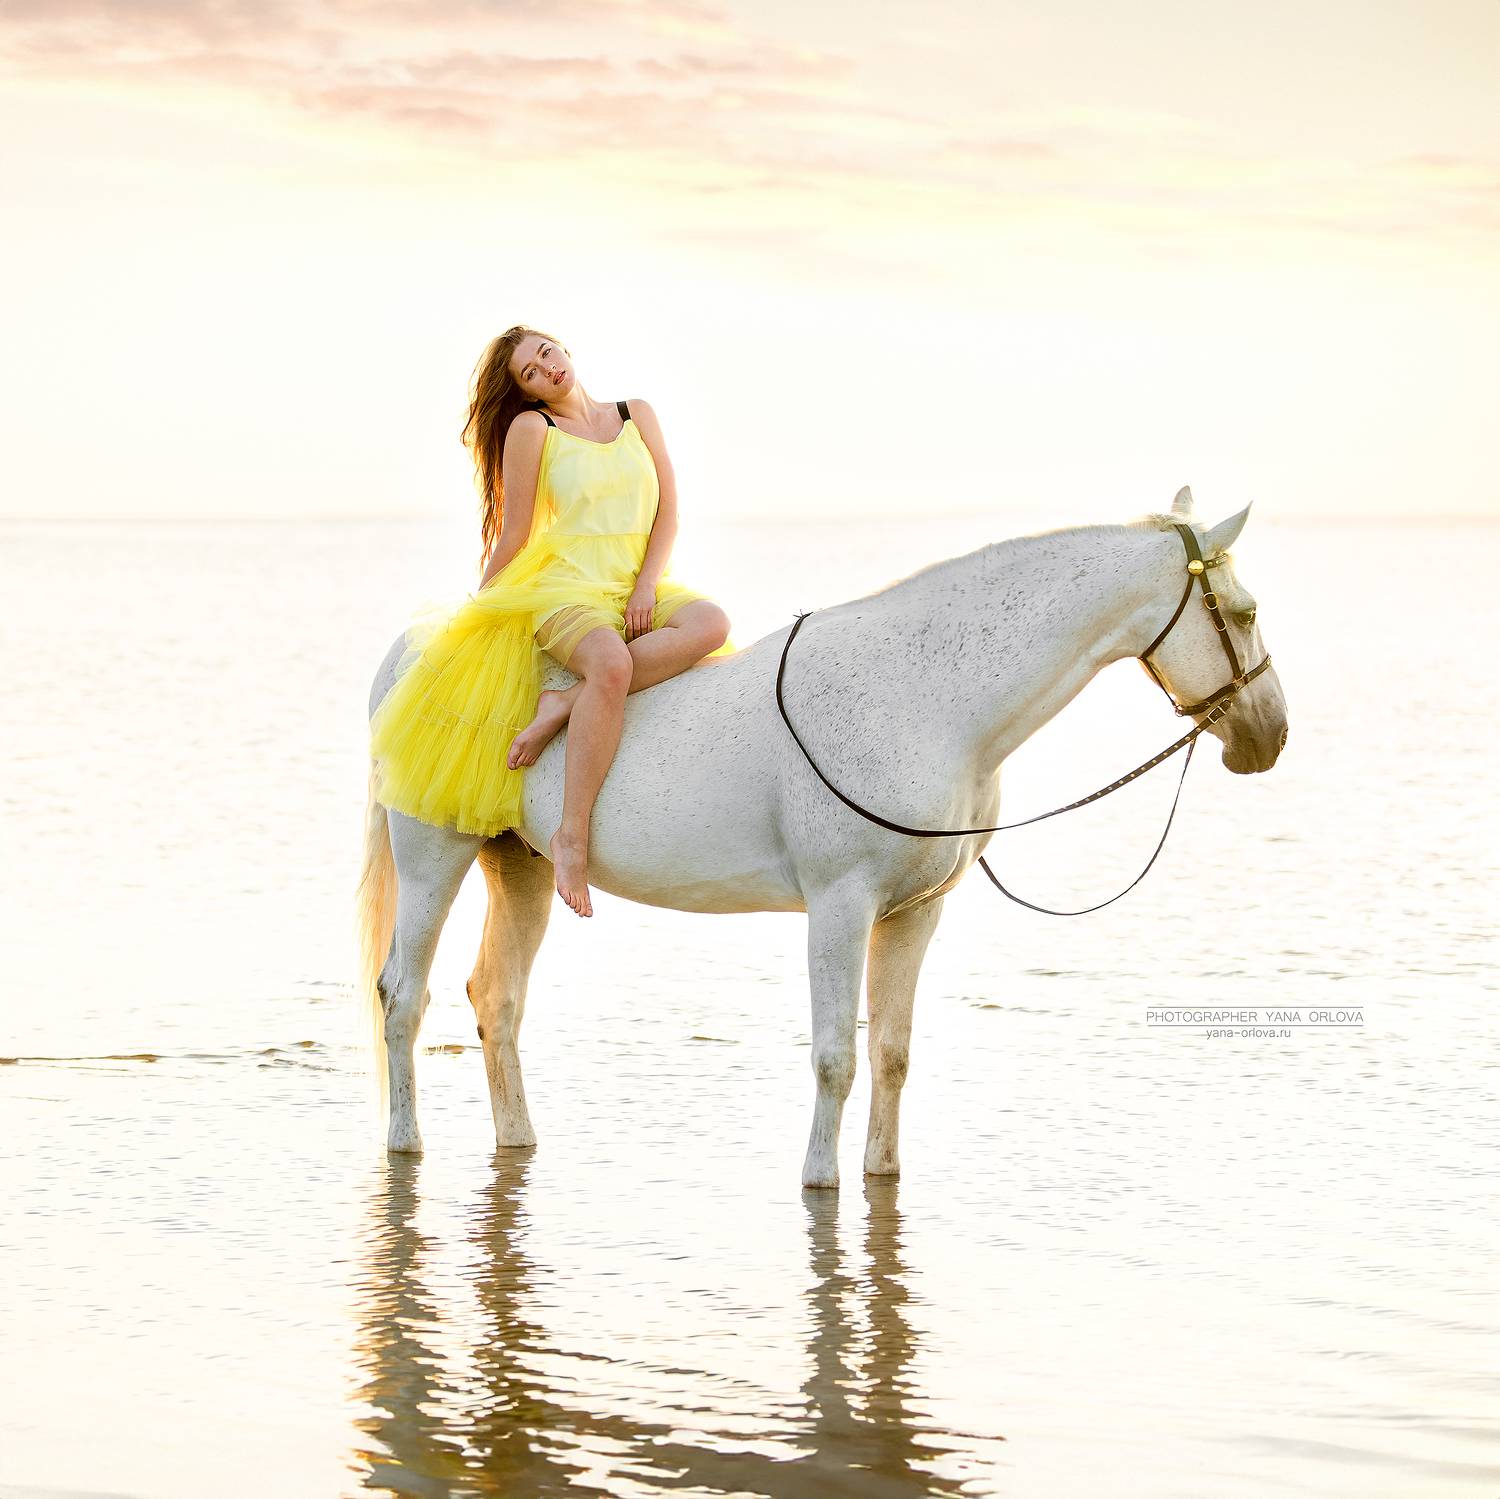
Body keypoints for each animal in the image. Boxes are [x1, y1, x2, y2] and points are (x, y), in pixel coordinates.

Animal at [355, 486, 1288, 1189]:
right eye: (1243, 612)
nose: (1269, 737)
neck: (927, 697)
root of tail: (406, 654)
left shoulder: (914, 911)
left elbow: (892, 1051)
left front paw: (883, 1172)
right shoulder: (841, 905)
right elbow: (837, 1053)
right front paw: (820, 1180)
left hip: (522, 866)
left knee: (498, 999)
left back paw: (519, 1140)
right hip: (435, 860)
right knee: (404, 995)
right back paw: (404, 1142)